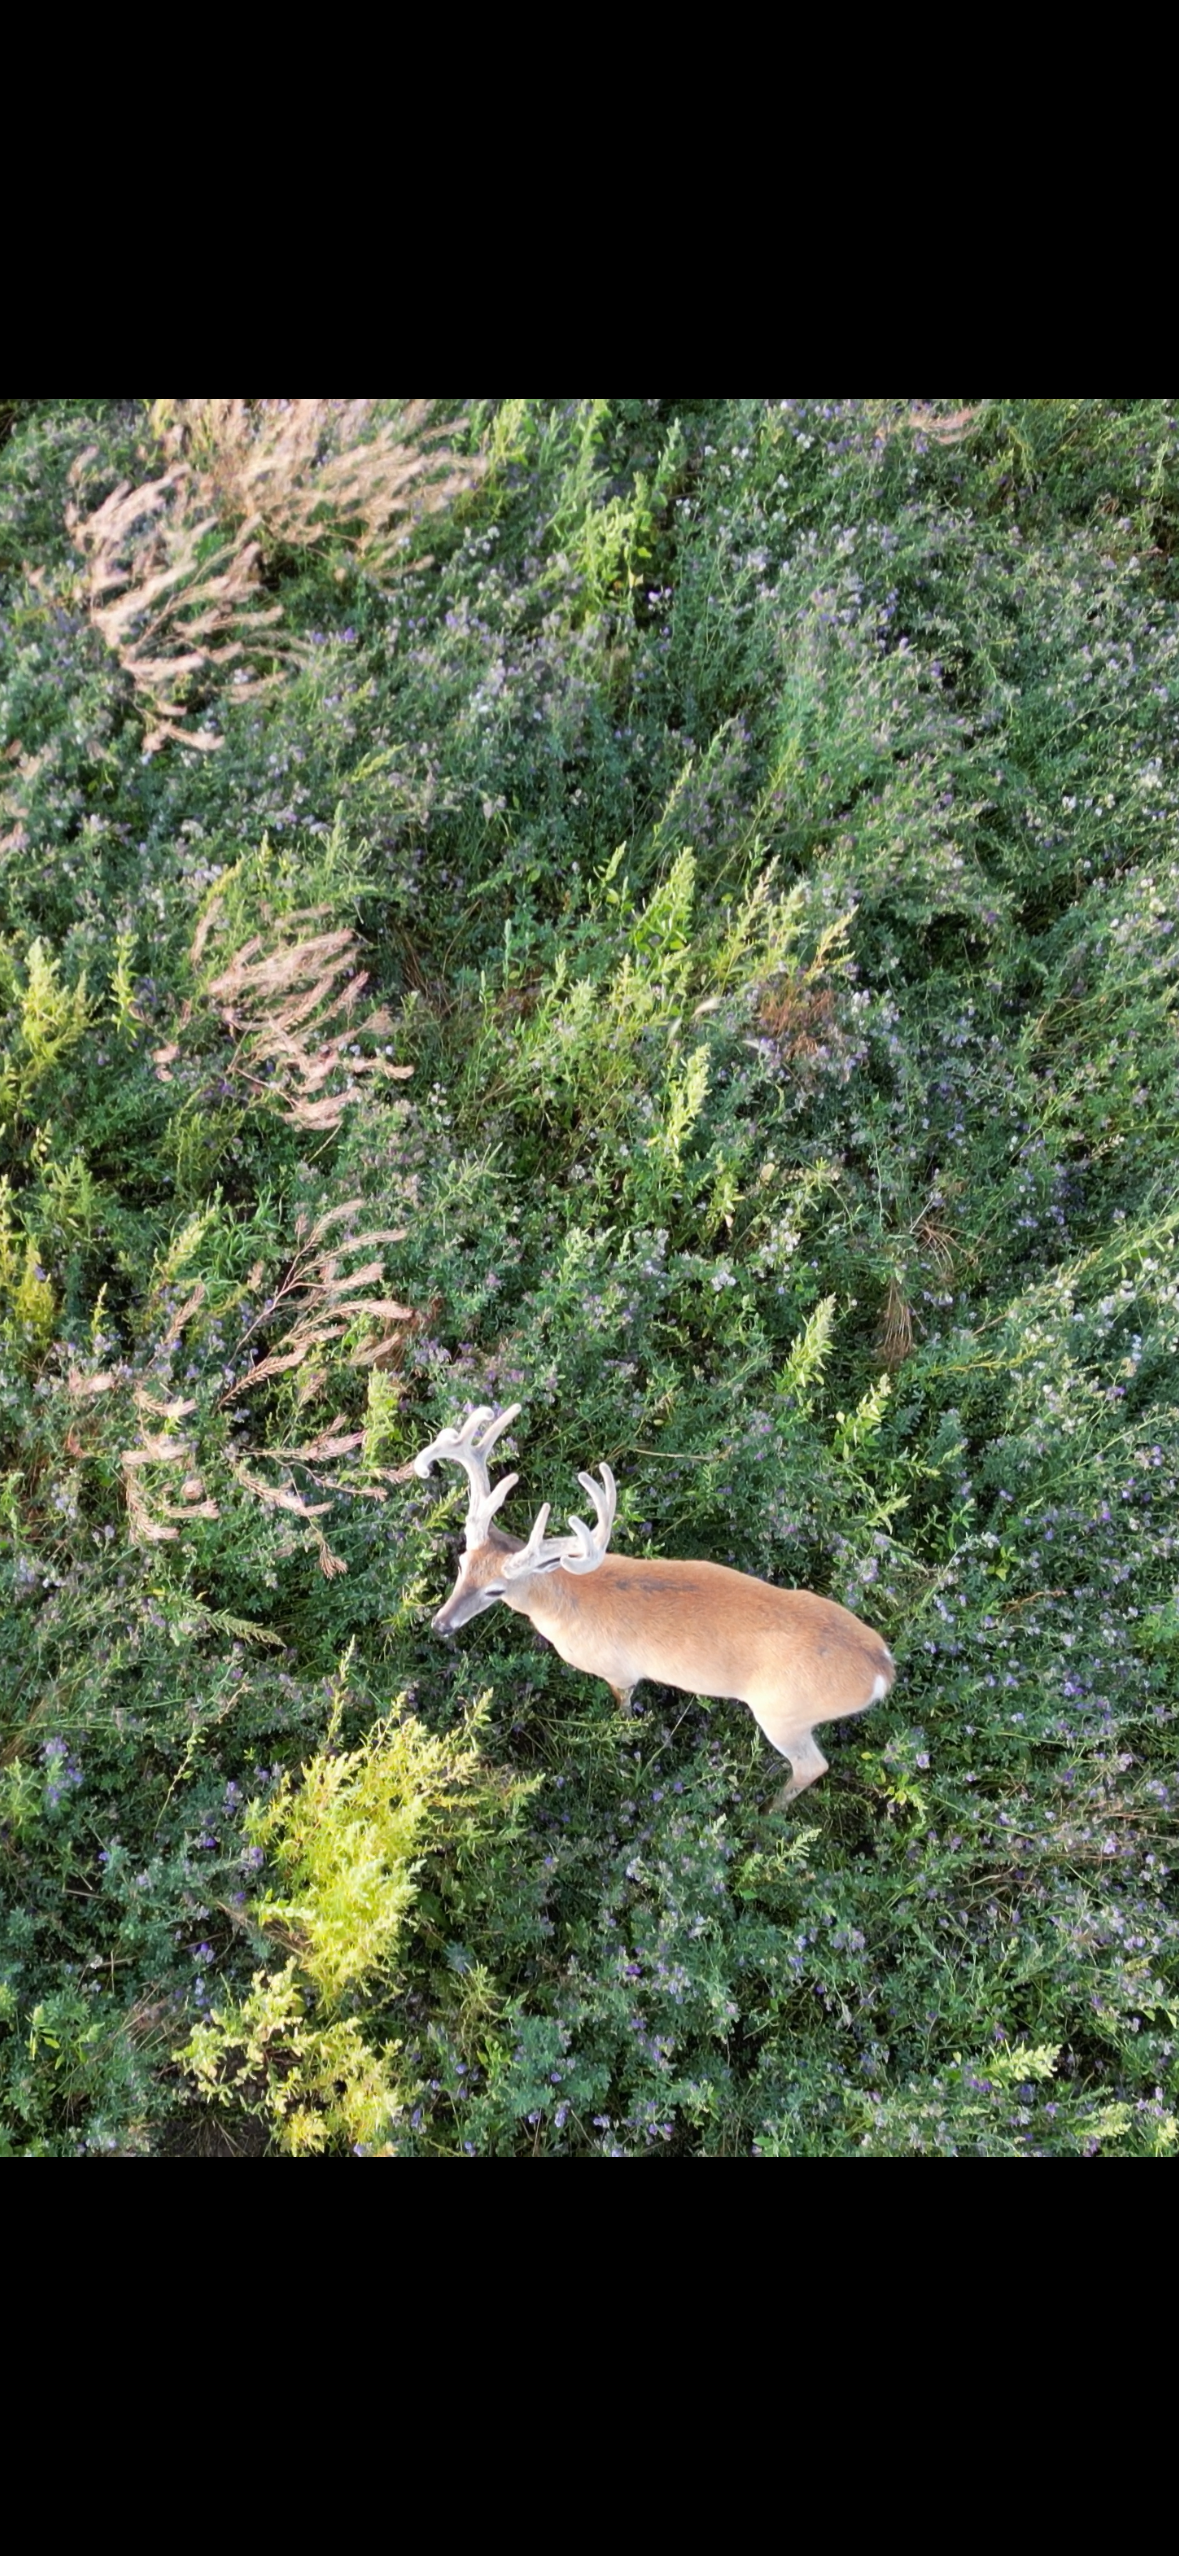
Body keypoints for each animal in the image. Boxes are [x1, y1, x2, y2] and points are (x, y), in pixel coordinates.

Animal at [412, 1405, 894, 1807]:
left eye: (495, 1591)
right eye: (461, 1562)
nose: (440, 1624)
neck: (569, 1600)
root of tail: (881, 1671)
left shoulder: (618, 1671)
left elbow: (623, 1706)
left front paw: (622, 1737)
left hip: (783, 1713)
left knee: (812, 1765)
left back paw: (766, 1811)